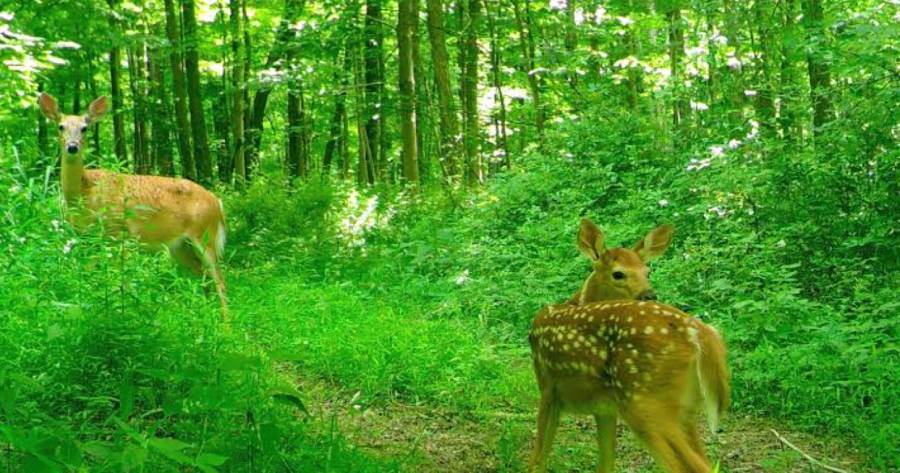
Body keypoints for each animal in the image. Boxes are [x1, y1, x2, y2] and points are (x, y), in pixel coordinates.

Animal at [39, 92, 229, 322]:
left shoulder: (119, 233)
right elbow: (89, 274)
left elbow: (117, 279)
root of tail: (218, 203)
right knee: (205, 278)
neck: (86, 192)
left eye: (85, 128)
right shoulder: (86, 237)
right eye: (61, 126)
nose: (72, 147)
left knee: (220, 280)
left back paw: (226, 326)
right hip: (181, 247)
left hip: (205, 235)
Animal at [528, 218, 730, 473]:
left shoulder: (548, 386)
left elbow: (537, 459)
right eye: (618, 274)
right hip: (683, 408)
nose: (649, 294)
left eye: (647, 271)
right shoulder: (603, 408)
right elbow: (606, 463)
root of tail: (699, 332)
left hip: (642, 399)